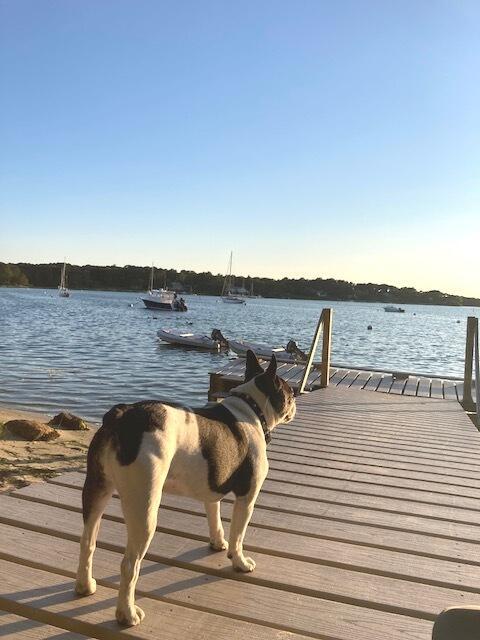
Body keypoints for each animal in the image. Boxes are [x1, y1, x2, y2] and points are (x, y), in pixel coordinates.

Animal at [75, 350, 296, 624]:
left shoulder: (212, 492)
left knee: (87, 541)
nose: (295, 404)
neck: (251, 408)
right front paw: (240, 562)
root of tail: (122, 415)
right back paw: (127, 614)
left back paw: (85, 586)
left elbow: (215, 518)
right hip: (144, 508)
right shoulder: (247, 496)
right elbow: (238, 535)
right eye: (291, 393)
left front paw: (218, 543)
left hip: (96, 490)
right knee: (129, 565)